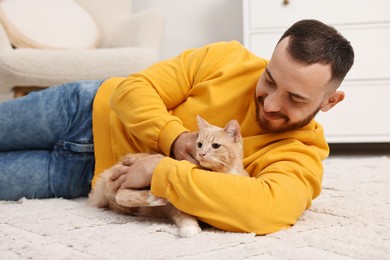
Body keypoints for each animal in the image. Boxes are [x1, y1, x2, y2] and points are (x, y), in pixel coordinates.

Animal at [88, 116, 247, 238]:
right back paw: (153, 198)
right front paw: (189, 228)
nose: (201, 154)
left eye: (215, 146)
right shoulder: (177, 205)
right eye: (199, 144)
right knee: (121, 194)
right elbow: (184, 215)